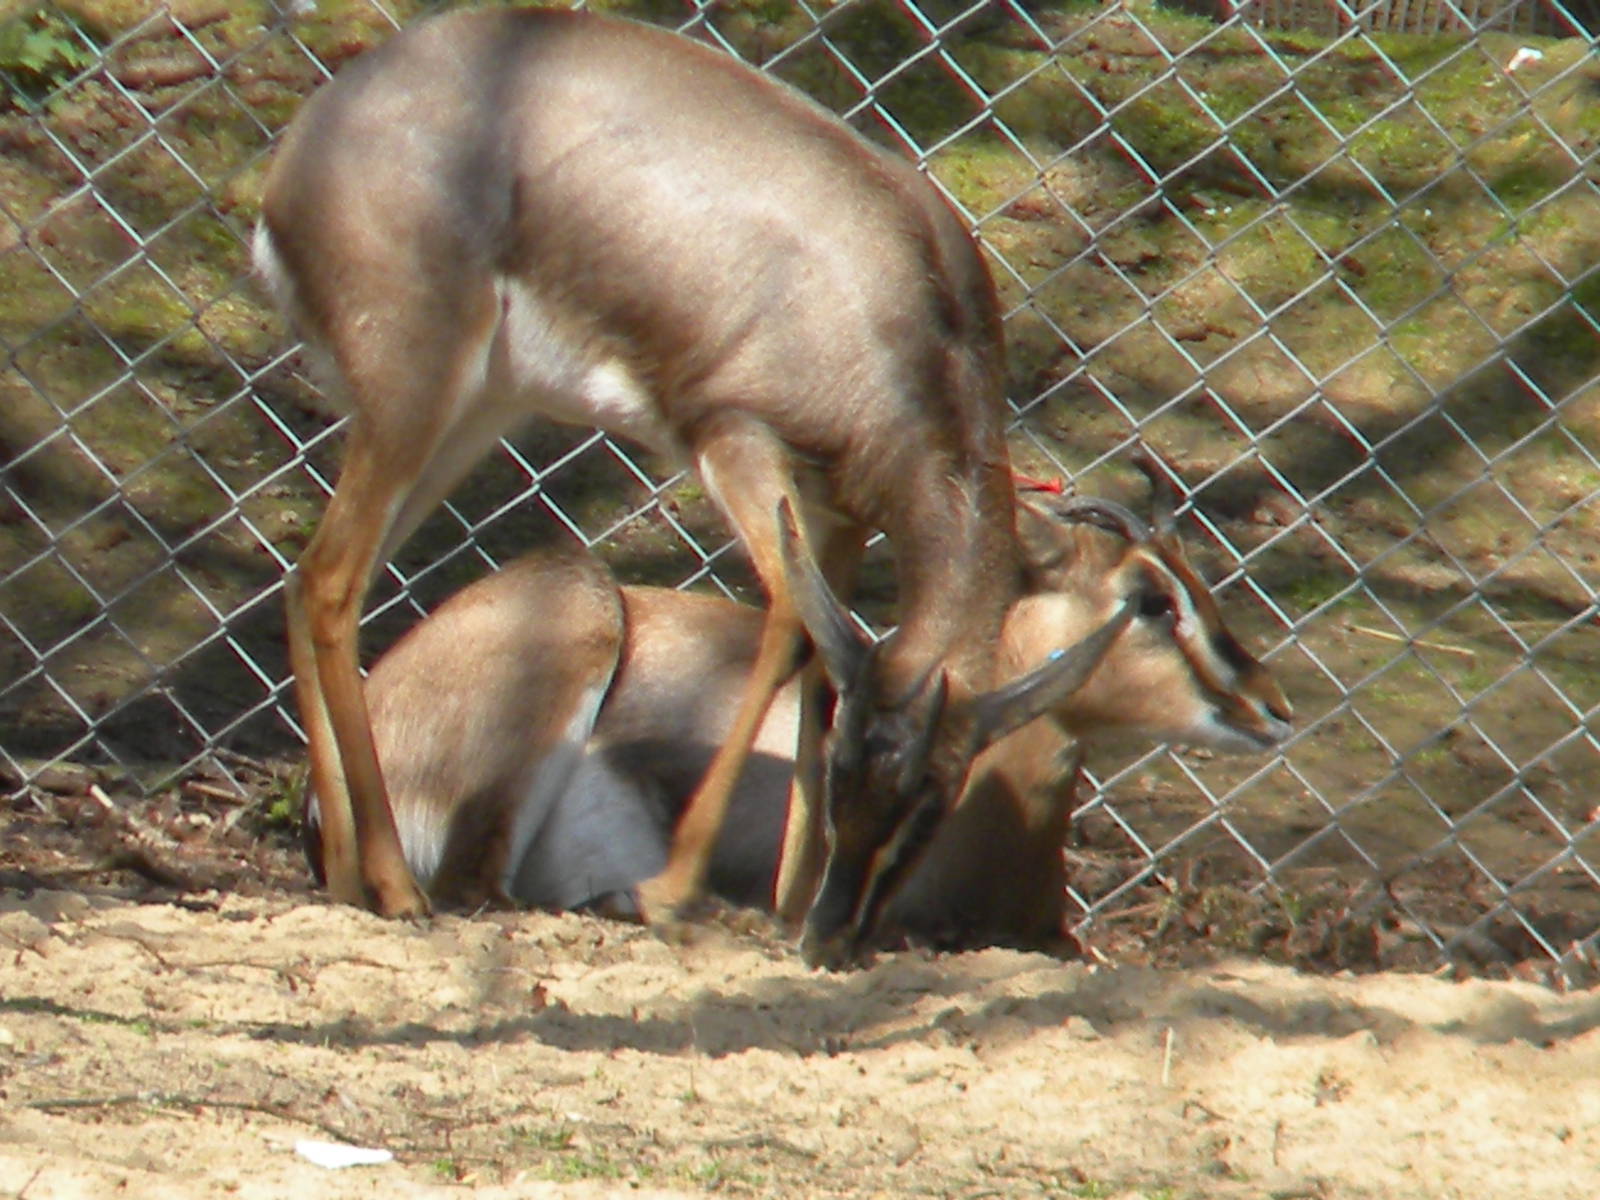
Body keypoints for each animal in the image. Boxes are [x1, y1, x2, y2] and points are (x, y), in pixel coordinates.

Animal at [257, 7, 1087, 934]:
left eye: (934, 804)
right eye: (855, 780)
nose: (839, 932)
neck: (904, 320)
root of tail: (303, 149)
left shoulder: (837, 518)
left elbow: (825, 667)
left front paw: (784, 908)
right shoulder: (735, 442)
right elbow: (792, 629)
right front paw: (667, 889)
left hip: (472, 417)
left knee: (309, 579)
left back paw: (346, 876)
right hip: (415, 402)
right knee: (333, 580)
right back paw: (397, 885)